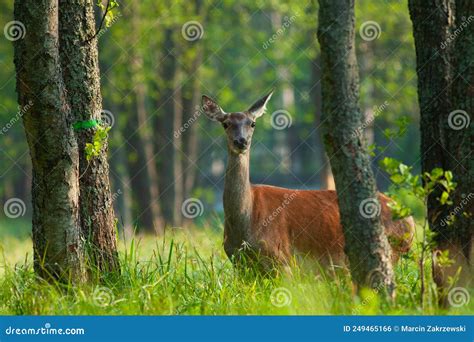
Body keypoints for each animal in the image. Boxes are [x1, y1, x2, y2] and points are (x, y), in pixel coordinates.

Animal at [202, 90, 412, 272]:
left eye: (252, 123)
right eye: (225, 123)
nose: (241, 141)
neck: (244, 225)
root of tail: (409, 218)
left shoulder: (281, 258)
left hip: (392, 249)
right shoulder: (238, 262)